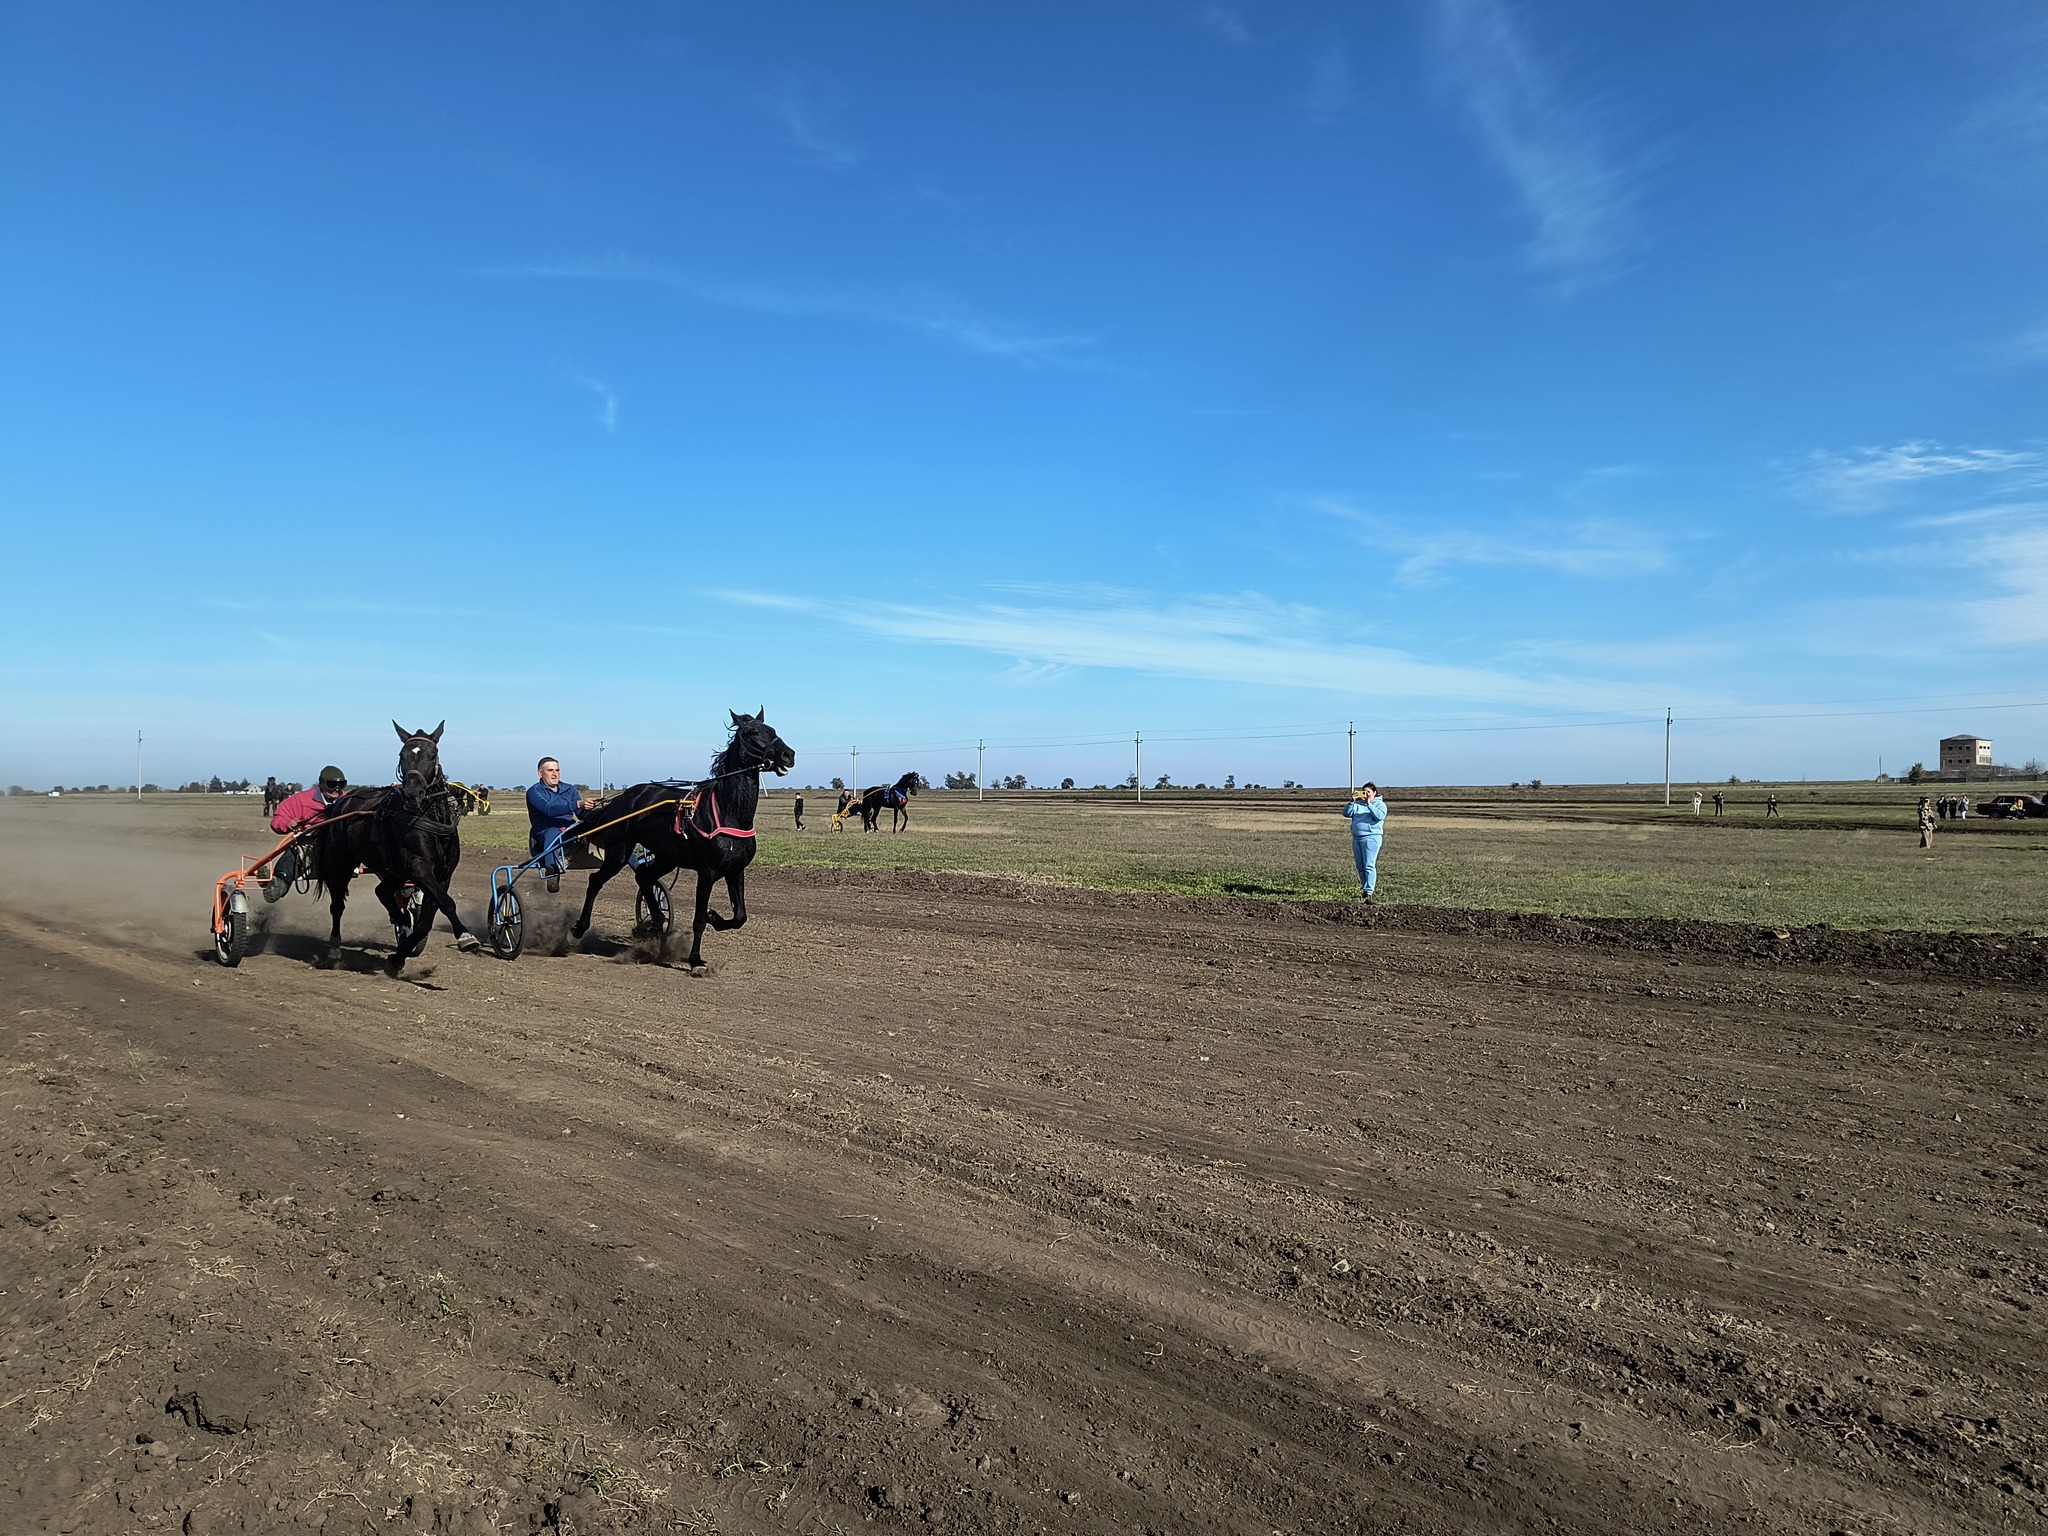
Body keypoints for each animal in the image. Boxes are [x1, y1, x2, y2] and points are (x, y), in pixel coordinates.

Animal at [309, 724, 477, 966]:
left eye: (432, 755)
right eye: (402, 755)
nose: (412, 793)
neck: (430, 819)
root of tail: (341, 802)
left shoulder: (443, 874)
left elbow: (426, 920)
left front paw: (400, 953)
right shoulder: (419, 867)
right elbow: (446, 903)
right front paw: (465, 936)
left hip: (394, 871)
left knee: (382, 892)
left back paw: (402, 921)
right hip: (341, 865)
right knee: (338, 905)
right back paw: (335, 948)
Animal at [577, 716, 798, 966]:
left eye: (773, 729)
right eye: (753, 732)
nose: (787, 755)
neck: (729, 812)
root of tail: (622, 798)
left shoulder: (736, 870)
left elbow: (740, 916)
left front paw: (715, 917)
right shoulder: (707, 872)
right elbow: (699, 919)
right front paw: (695, 958)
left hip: (667, 857)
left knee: (643, 876)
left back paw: (656, 920)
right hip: (619, 851)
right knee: (596, 880)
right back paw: (580, 927)